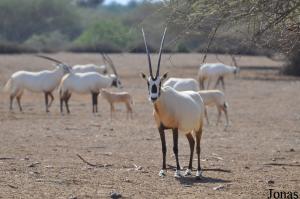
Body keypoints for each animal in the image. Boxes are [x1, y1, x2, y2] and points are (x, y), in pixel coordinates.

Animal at [142, 27, 205, 177]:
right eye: (148, 83)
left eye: (160, 82)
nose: (153, 97)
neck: (163, 107)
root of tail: (196, 96)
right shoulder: (160, 128)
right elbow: (164, 147)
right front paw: (163, 170)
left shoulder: (174, 128)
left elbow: (175, 148)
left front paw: (177, 171)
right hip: (187, 130)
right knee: (192, 143)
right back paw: (188, 169)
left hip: (198, 127)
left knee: (198, 146)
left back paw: (198, 172)